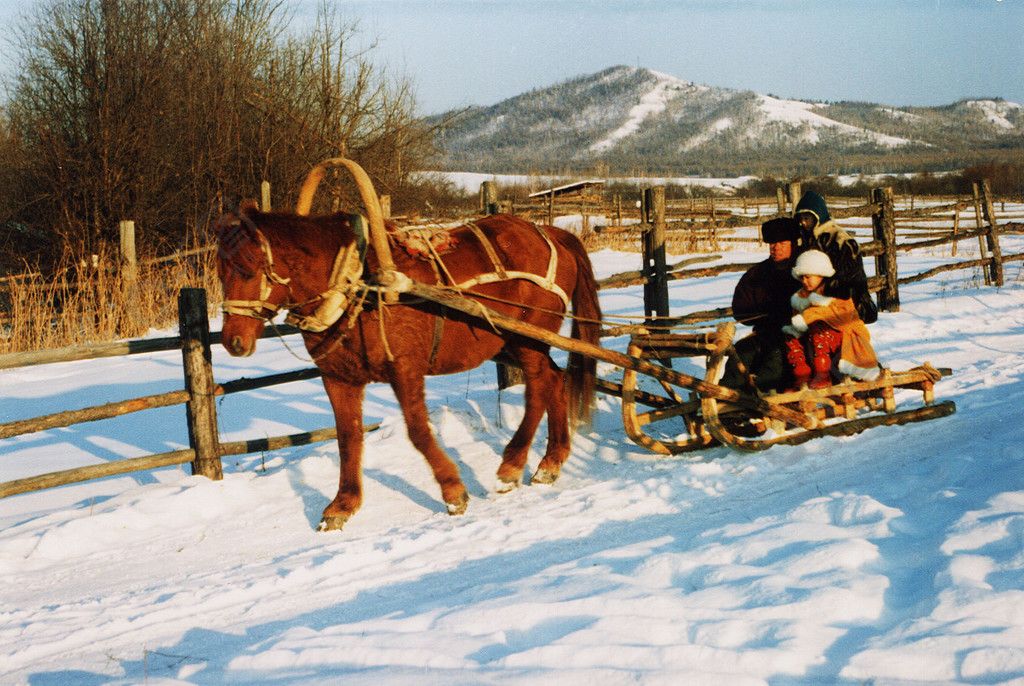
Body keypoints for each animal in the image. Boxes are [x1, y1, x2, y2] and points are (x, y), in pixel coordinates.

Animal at [214, 205, 598, 532]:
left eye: (248, 269)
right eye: (219, 272)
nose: (233, 341)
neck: (358, 285)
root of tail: (550, 232)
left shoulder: (406, 370)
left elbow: (418, 432)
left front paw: (453, 492)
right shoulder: (338, 378)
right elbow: (348, 438)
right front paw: (342, 506)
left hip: (527, 339)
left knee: (538, 388)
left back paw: (511, 466)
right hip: (509, 345)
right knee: (555, 379)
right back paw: (550, 463)